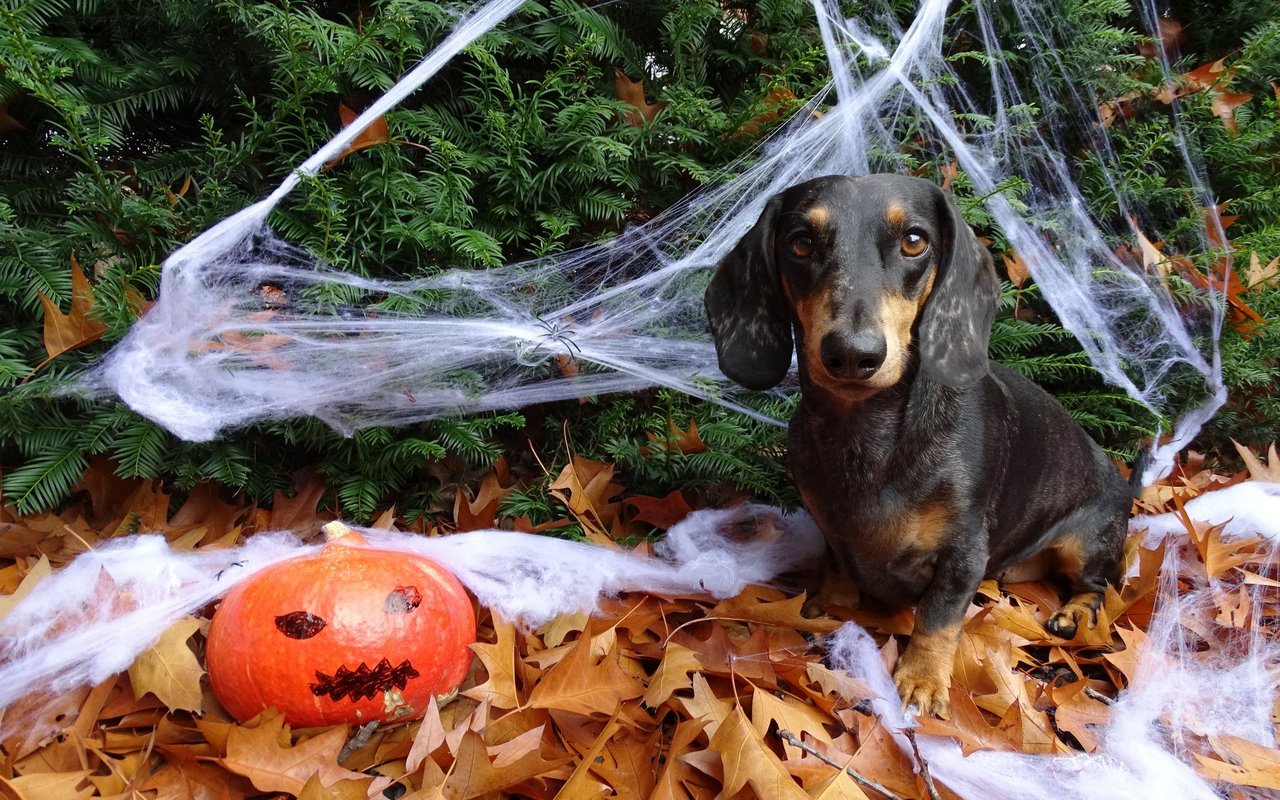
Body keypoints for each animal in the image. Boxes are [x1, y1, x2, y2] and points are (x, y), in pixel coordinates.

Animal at [706, 176, 1136, 716]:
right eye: (800, 243)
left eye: (914, 241)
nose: (853, 354)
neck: (867, 438)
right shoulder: (833, 533)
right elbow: (838, 572)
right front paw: (829, 612)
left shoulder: (964, 555)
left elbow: (938, 618)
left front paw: (922, 681)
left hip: (1088, 542)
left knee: (1097, 585)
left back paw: (1073, 614)